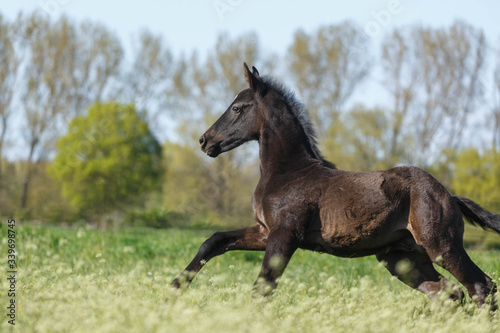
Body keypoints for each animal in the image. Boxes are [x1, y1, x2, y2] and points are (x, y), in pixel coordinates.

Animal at [172, 62, 500, 306]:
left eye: (237, 108)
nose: (205, 141)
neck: (288, 172)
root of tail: (450, 195)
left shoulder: (285, 234)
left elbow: (263, 286)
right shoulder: (265, 231)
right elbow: (214, 241)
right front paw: (174, 288)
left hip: (442, 246)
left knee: (480, 286)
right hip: (403, 259)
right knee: (450, 293)